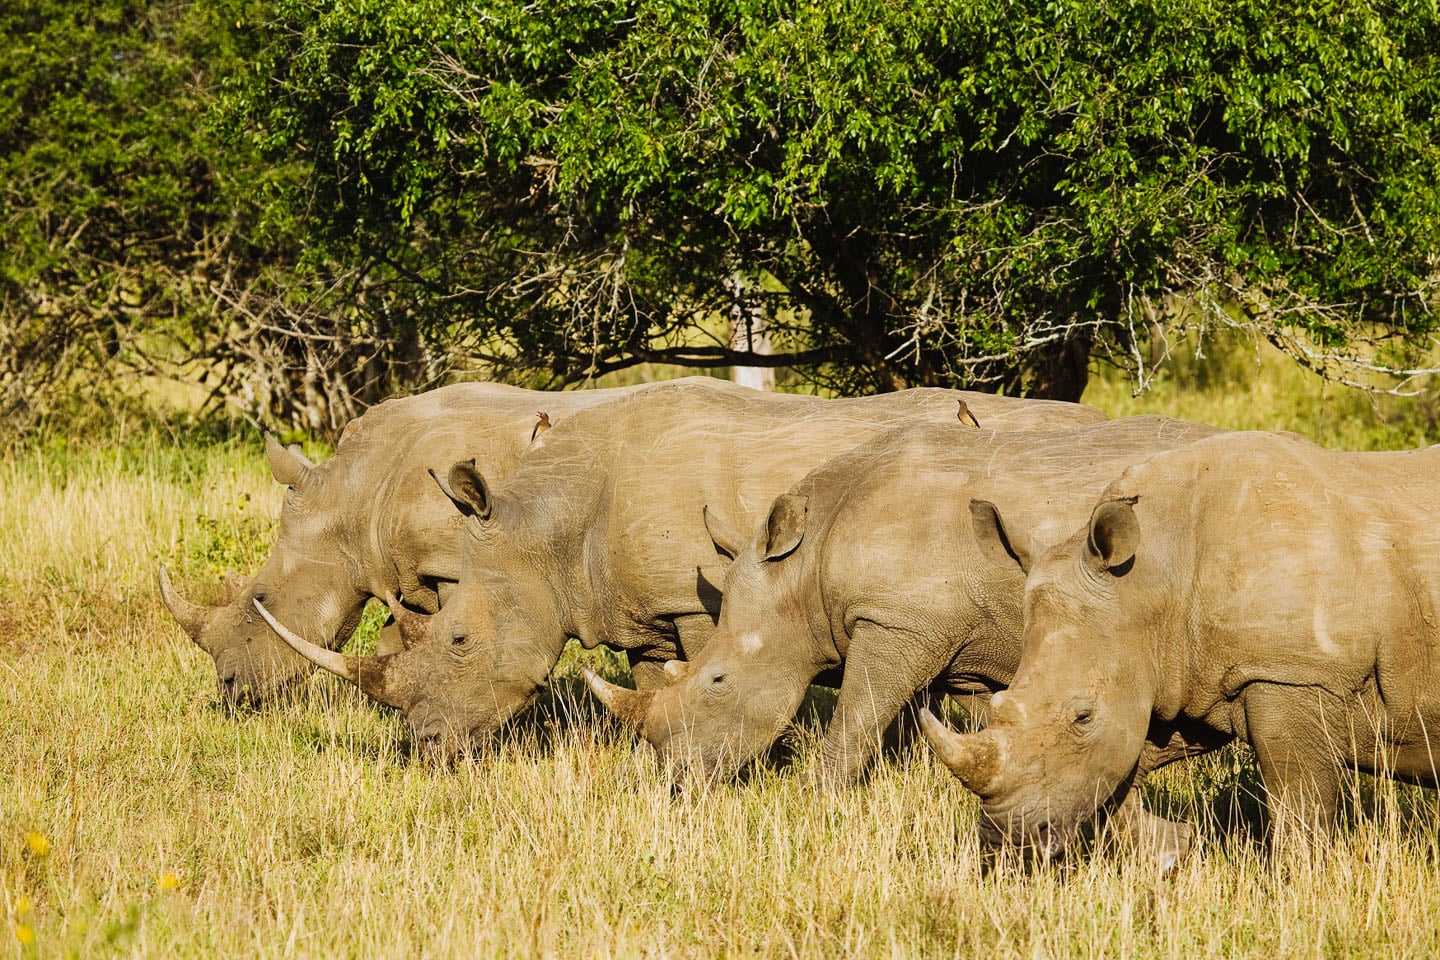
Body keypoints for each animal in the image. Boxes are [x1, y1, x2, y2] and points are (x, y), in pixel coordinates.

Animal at [158, 379, 649, 706]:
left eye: (260, 599)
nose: (229, 690)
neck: (356, 496)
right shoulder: (410, 574)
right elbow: (397, 644)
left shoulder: (454, 563)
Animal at [256, 379, 1103, 757]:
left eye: (460, 643)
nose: (425, 747)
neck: (549, 525)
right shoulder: (644, 611)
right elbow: (654, 685)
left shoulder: (697, 601)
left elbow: (706, 673)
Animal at [919, 430, 1440, 857]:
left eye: (1082, 717)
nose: (1005, 838)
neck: (1155, 575)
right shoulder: (1181, 672)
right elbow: (1121, 778)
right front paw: (1174, 849)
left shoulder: (1294, 674)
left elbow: (1299, 802)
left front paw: (1301, 883)